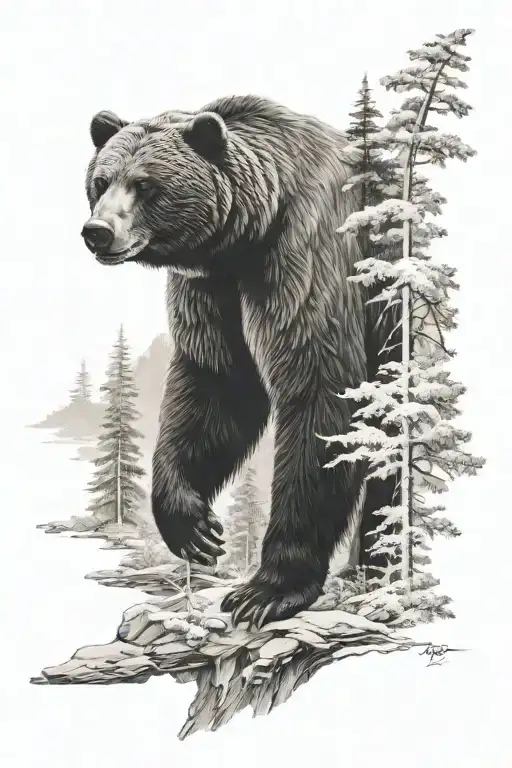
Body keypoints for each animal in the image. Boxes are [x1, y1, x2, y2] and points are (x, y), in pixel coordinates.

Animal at [82, 95, 396, 628]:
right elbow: (216, 385)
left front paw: (266, 590)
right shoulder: (212, 287)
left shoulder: (308, 258)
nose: (97, 232)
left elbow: (321, 390)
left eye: (145, 184)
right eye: (101, 181)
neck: (248, 233)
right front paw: (193, 527)